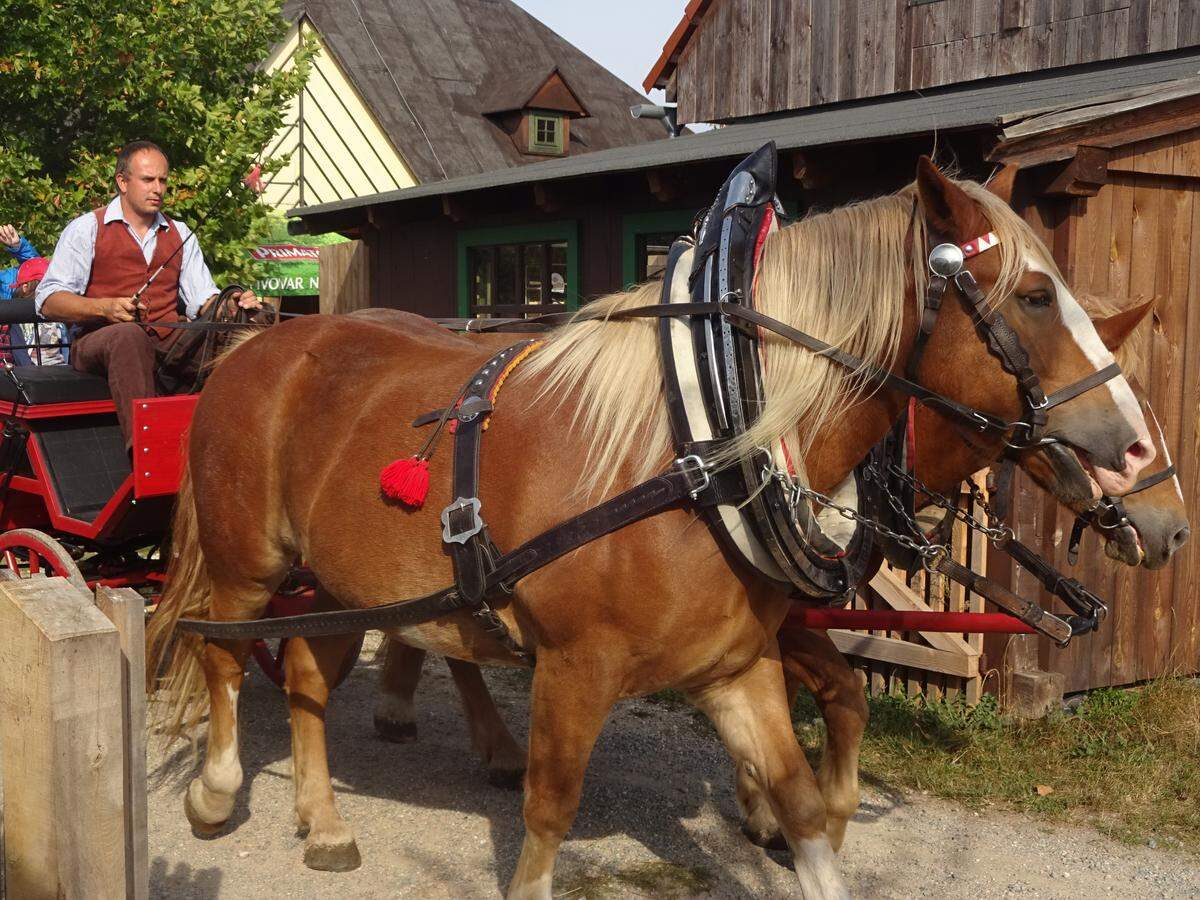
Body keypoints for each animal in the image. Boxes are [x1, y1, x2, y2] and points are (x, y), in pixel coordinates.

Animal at [147, 158, 1152, 897]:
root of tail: (258, 342)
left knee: (310, 673)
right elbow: (549, 812)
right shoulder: (575, 667)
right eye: (1033, 296)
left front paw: (785, 820)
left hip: (337, 580)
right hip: (247, 566)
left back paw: (324, 821)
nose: (1135, 454)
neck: (703, 455)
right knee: (225, 658)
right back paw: (217, 791)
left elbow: (801, 800)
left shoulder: (736, 667)